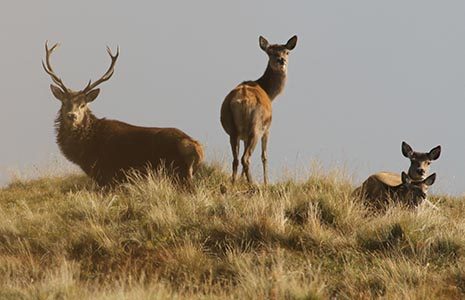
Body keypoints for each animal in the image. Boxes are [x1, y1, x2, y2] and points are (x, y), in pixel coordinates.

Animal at [42, 41, 203, 188]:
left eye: (83, 104)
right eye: (64, 102)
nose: (72, 116)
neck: (86, 150)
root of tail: (197, 148)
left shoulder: (107, 175)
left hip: (175, 172)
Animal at [220, 35, 298, 185]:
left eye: (287, 52)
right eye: (271, 53)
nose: (281, 60)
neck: (269, 93)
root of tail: (243, 100)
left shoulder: (243, 136)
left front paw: (241, 180)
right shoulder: (268, 128)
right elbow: (265, 156)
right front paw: (266, 182)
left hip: (233, 129)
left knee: (236, 159)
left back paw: (232, 183)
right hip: (256, 127)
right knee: (245, 158)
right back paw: (253, 184)